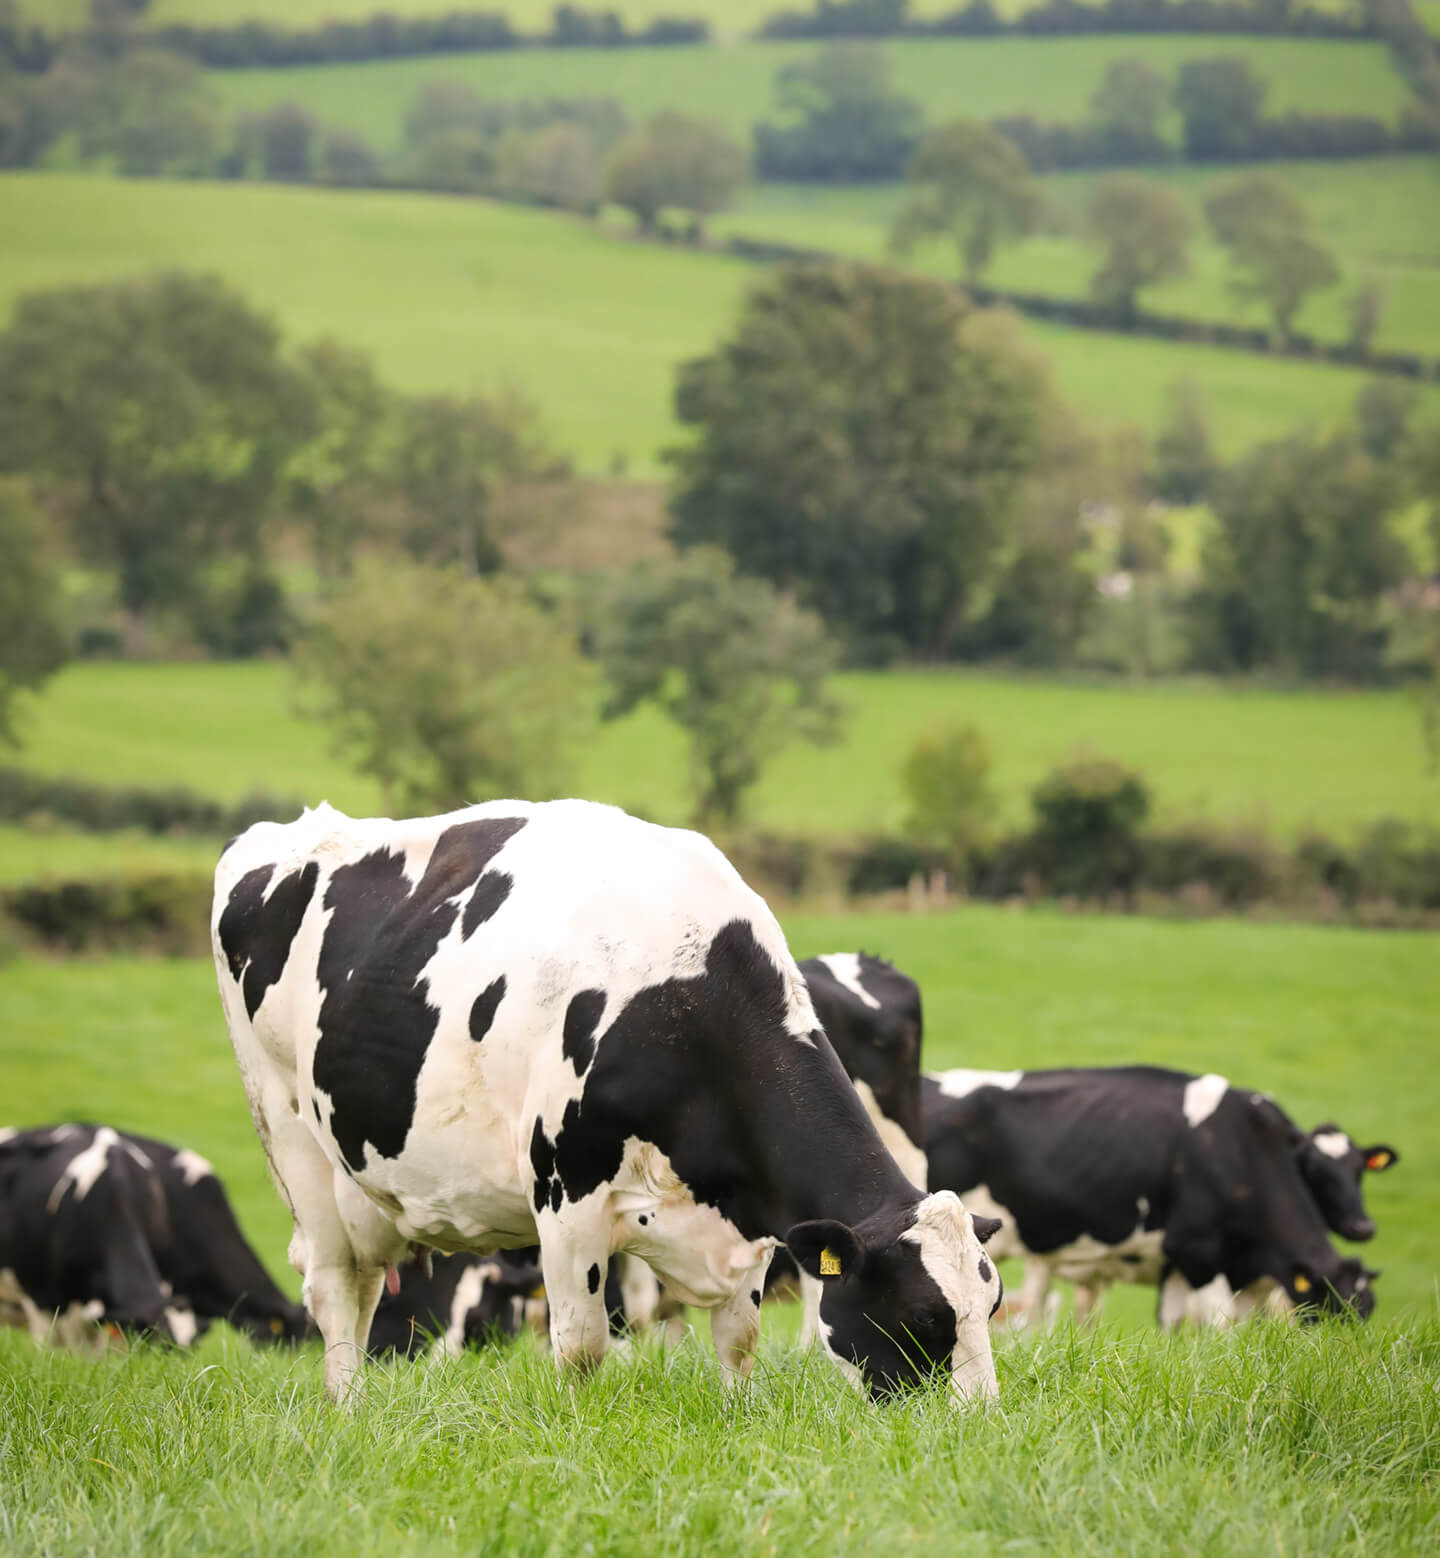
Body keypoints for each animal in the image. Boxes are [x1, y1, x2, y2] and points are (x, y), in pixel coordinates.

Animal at [212, 799, 1003, 1406]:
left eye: (991, 1306)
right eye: (922, 1314)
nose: (979, 1421)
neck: (687, 999)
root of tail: (288, 831)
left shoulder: (745, 1220)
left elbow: (738, 1339)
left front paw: (740, 1415)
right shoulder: (567, 1196)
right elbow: (582, 1346)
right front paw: (576, 1432)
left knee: (369, 1284)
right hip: (292, 1137)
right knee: (334, 1287)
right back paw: (346, 1407)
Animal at [921, 1066, 1381, 1331]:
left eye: (1364, 1315)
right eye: (1325, 1313)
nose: (1364, 1227)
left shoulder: (1189, 1266)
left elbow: (1179, 1325)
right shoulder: (1196, 1251)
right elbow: (1221, 1327)